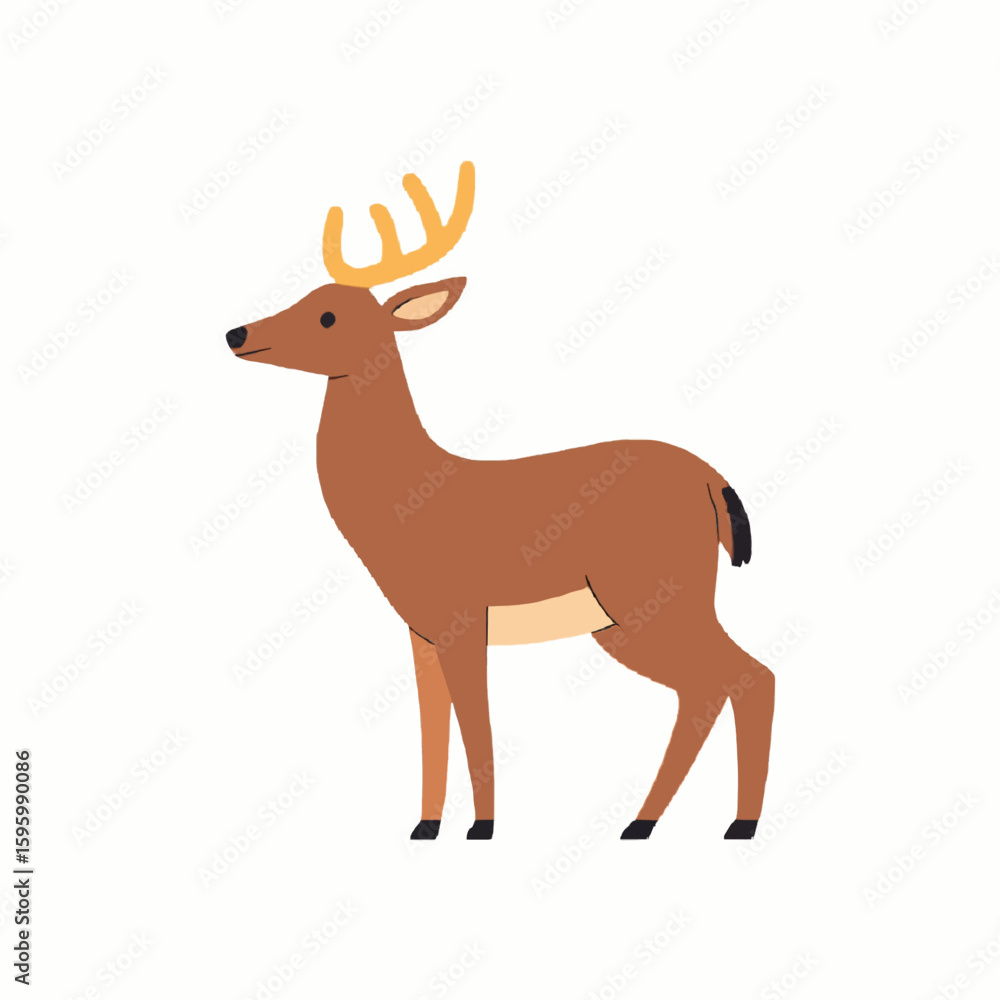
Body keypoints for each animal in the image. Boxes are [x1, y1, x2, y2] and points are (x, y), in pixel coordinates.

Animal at [225, 162, 774, 842]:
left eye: (328, 316)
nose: (236, 333)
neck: (408, 492)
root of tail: (711, 480)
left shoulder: (464, 618)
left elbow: (475, 722)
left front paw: (482, 828)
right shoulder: (421, 629)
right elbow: (432, 728)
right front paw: (425, 826)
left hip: (655, 593)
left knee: (744, 676)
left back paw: (730, 825)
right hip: (624, 618)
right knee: (709, 686)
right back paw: (648, 824)